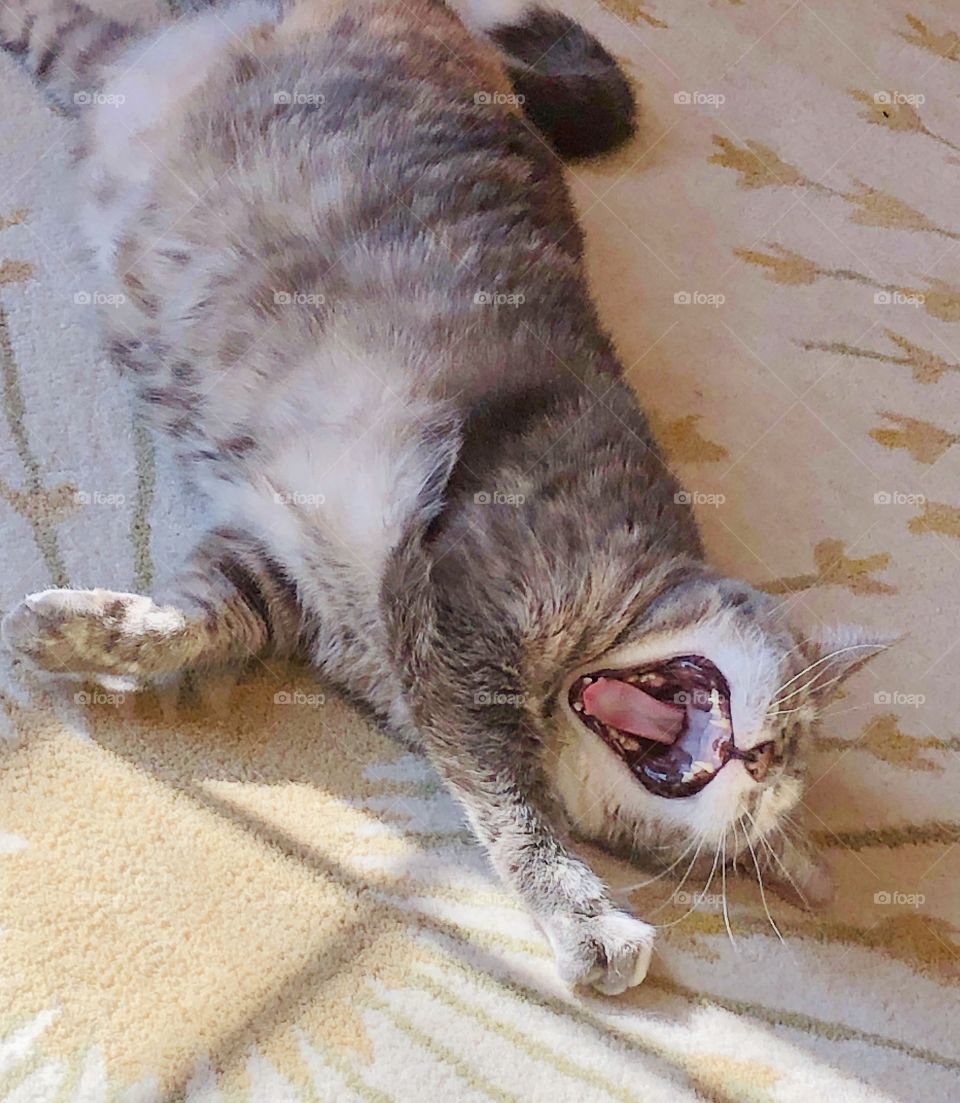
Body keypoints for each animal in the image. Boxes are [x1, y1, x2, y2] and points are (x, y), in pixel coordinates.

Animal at [0, 0, 887, 997]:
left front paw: (67, 629)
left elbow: (176, 625)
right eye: (794, 732)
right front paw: (589, 919)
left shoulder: (277, 570)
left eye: (761, 810)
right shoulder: (463, 632)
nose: (763, 757)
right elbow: (516, 808)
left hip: (84, 59)